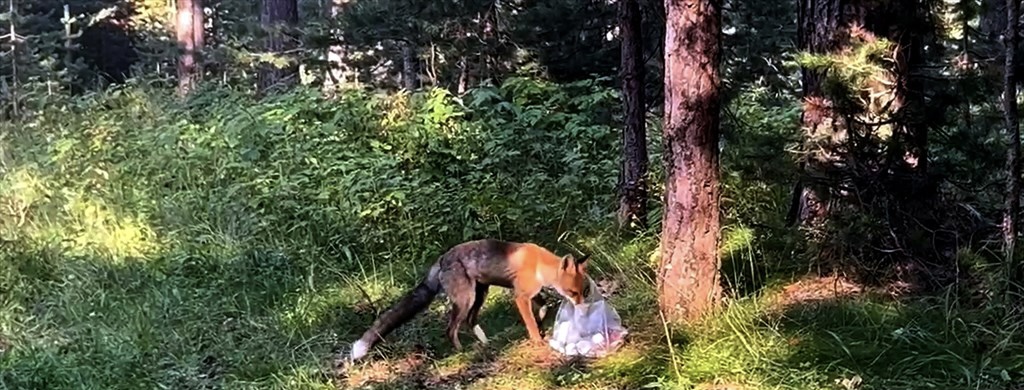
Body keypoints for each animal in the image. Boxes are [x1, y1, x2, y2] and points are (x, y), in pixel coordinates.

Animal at [350, 238, 593, 360]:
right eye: (573, 293)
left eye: (584, 291)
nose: (583, 310)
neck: (539, 265)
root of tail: (442, 258)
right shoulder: (520, 296)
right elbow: (531, 322)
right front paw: (537, 339)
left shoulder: (530, 293)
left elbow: (542, 307)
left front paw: (542, 321)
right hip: (466, 299)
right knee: (451, 329)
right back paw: (461, 352)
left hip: (480, 294)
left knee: (469, 322)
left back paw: (484, 343)